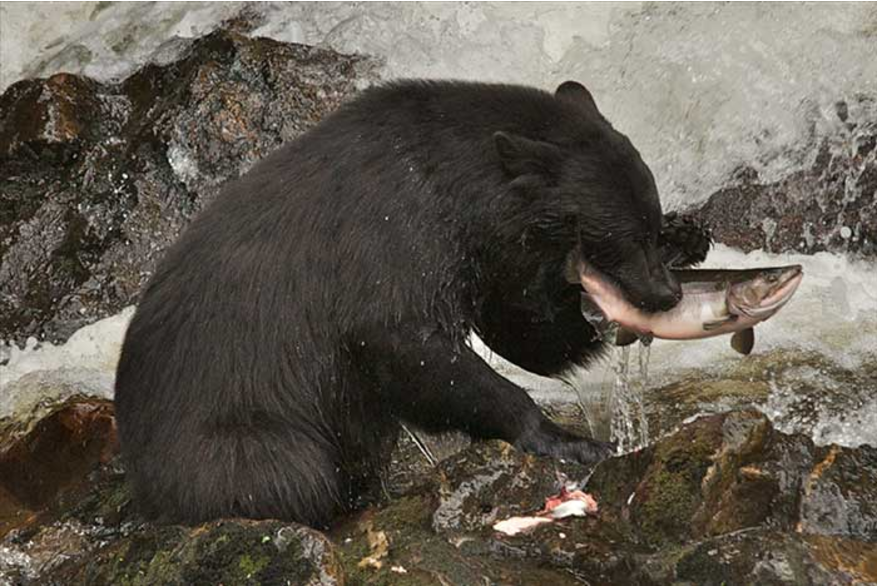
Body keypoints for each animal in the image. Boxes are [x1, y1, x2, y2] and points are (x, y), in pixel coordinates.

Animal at [114, 79, 710, 528]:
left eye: (648, 222)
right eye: (624, 235)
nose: (666, 293)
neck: (457, 191)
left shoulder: (486, 262)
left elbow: (525, 332)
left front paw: (687, 237)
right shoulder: (396, 240)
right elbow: (407, 342)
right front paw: (569, 439)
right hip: (231, 436)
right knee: (288, 471)